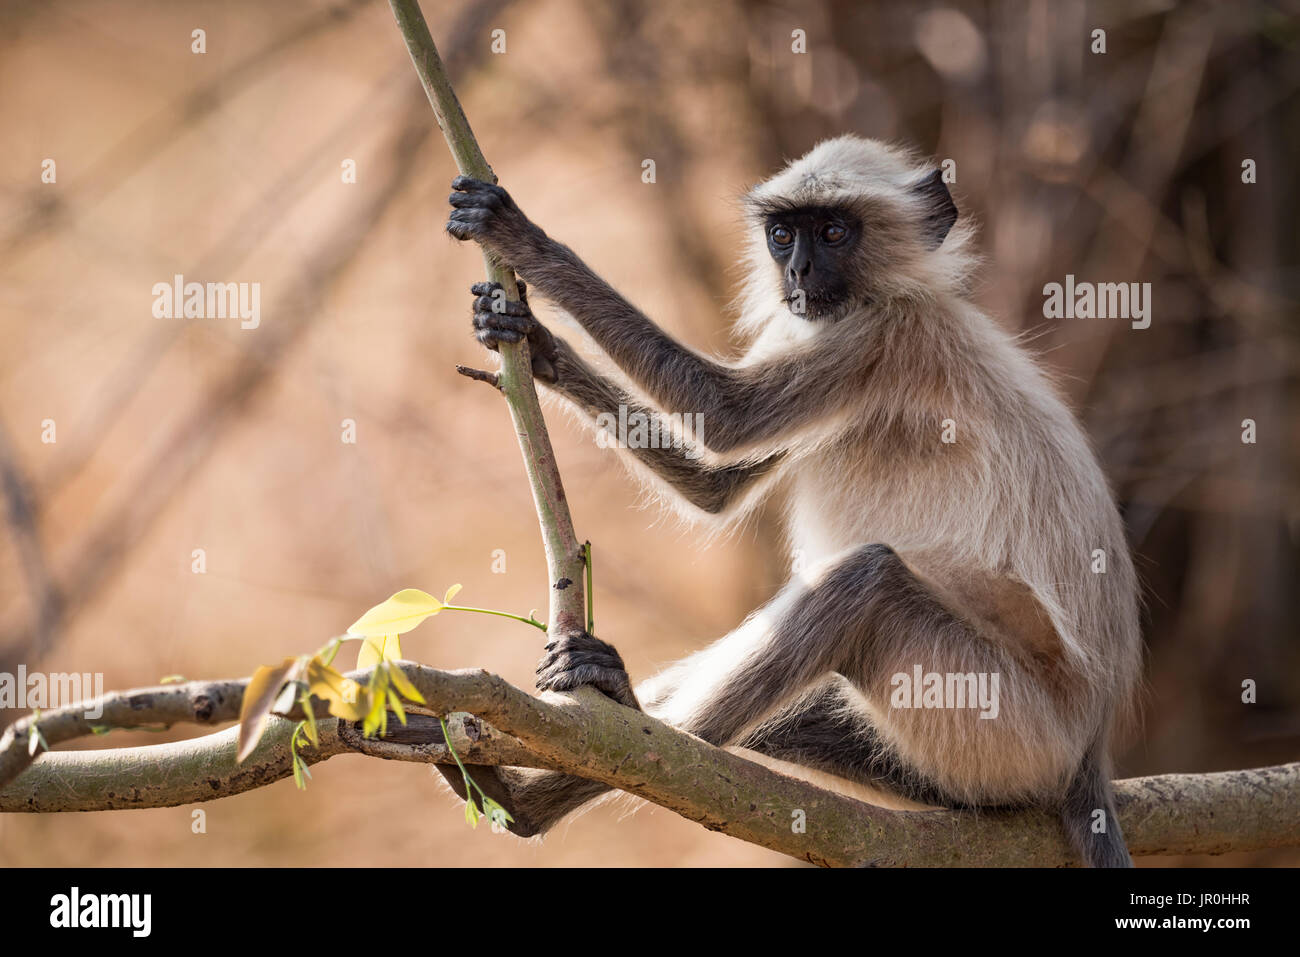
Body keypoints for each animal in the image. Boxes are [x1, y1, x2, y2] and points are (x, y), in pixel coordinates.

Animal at [434, 136, 1138, 868]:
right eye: (782, 235)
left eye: (832, 232)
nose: (796, 269)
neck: (901, 293)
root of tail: (1088, 748)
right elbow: (716, 484)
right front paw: (531, 341)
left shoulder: (877, 337)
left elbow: (723, 416)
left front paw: (518, 235)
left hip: (1010, 725)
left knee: (868, 582)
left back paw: (575, 748)